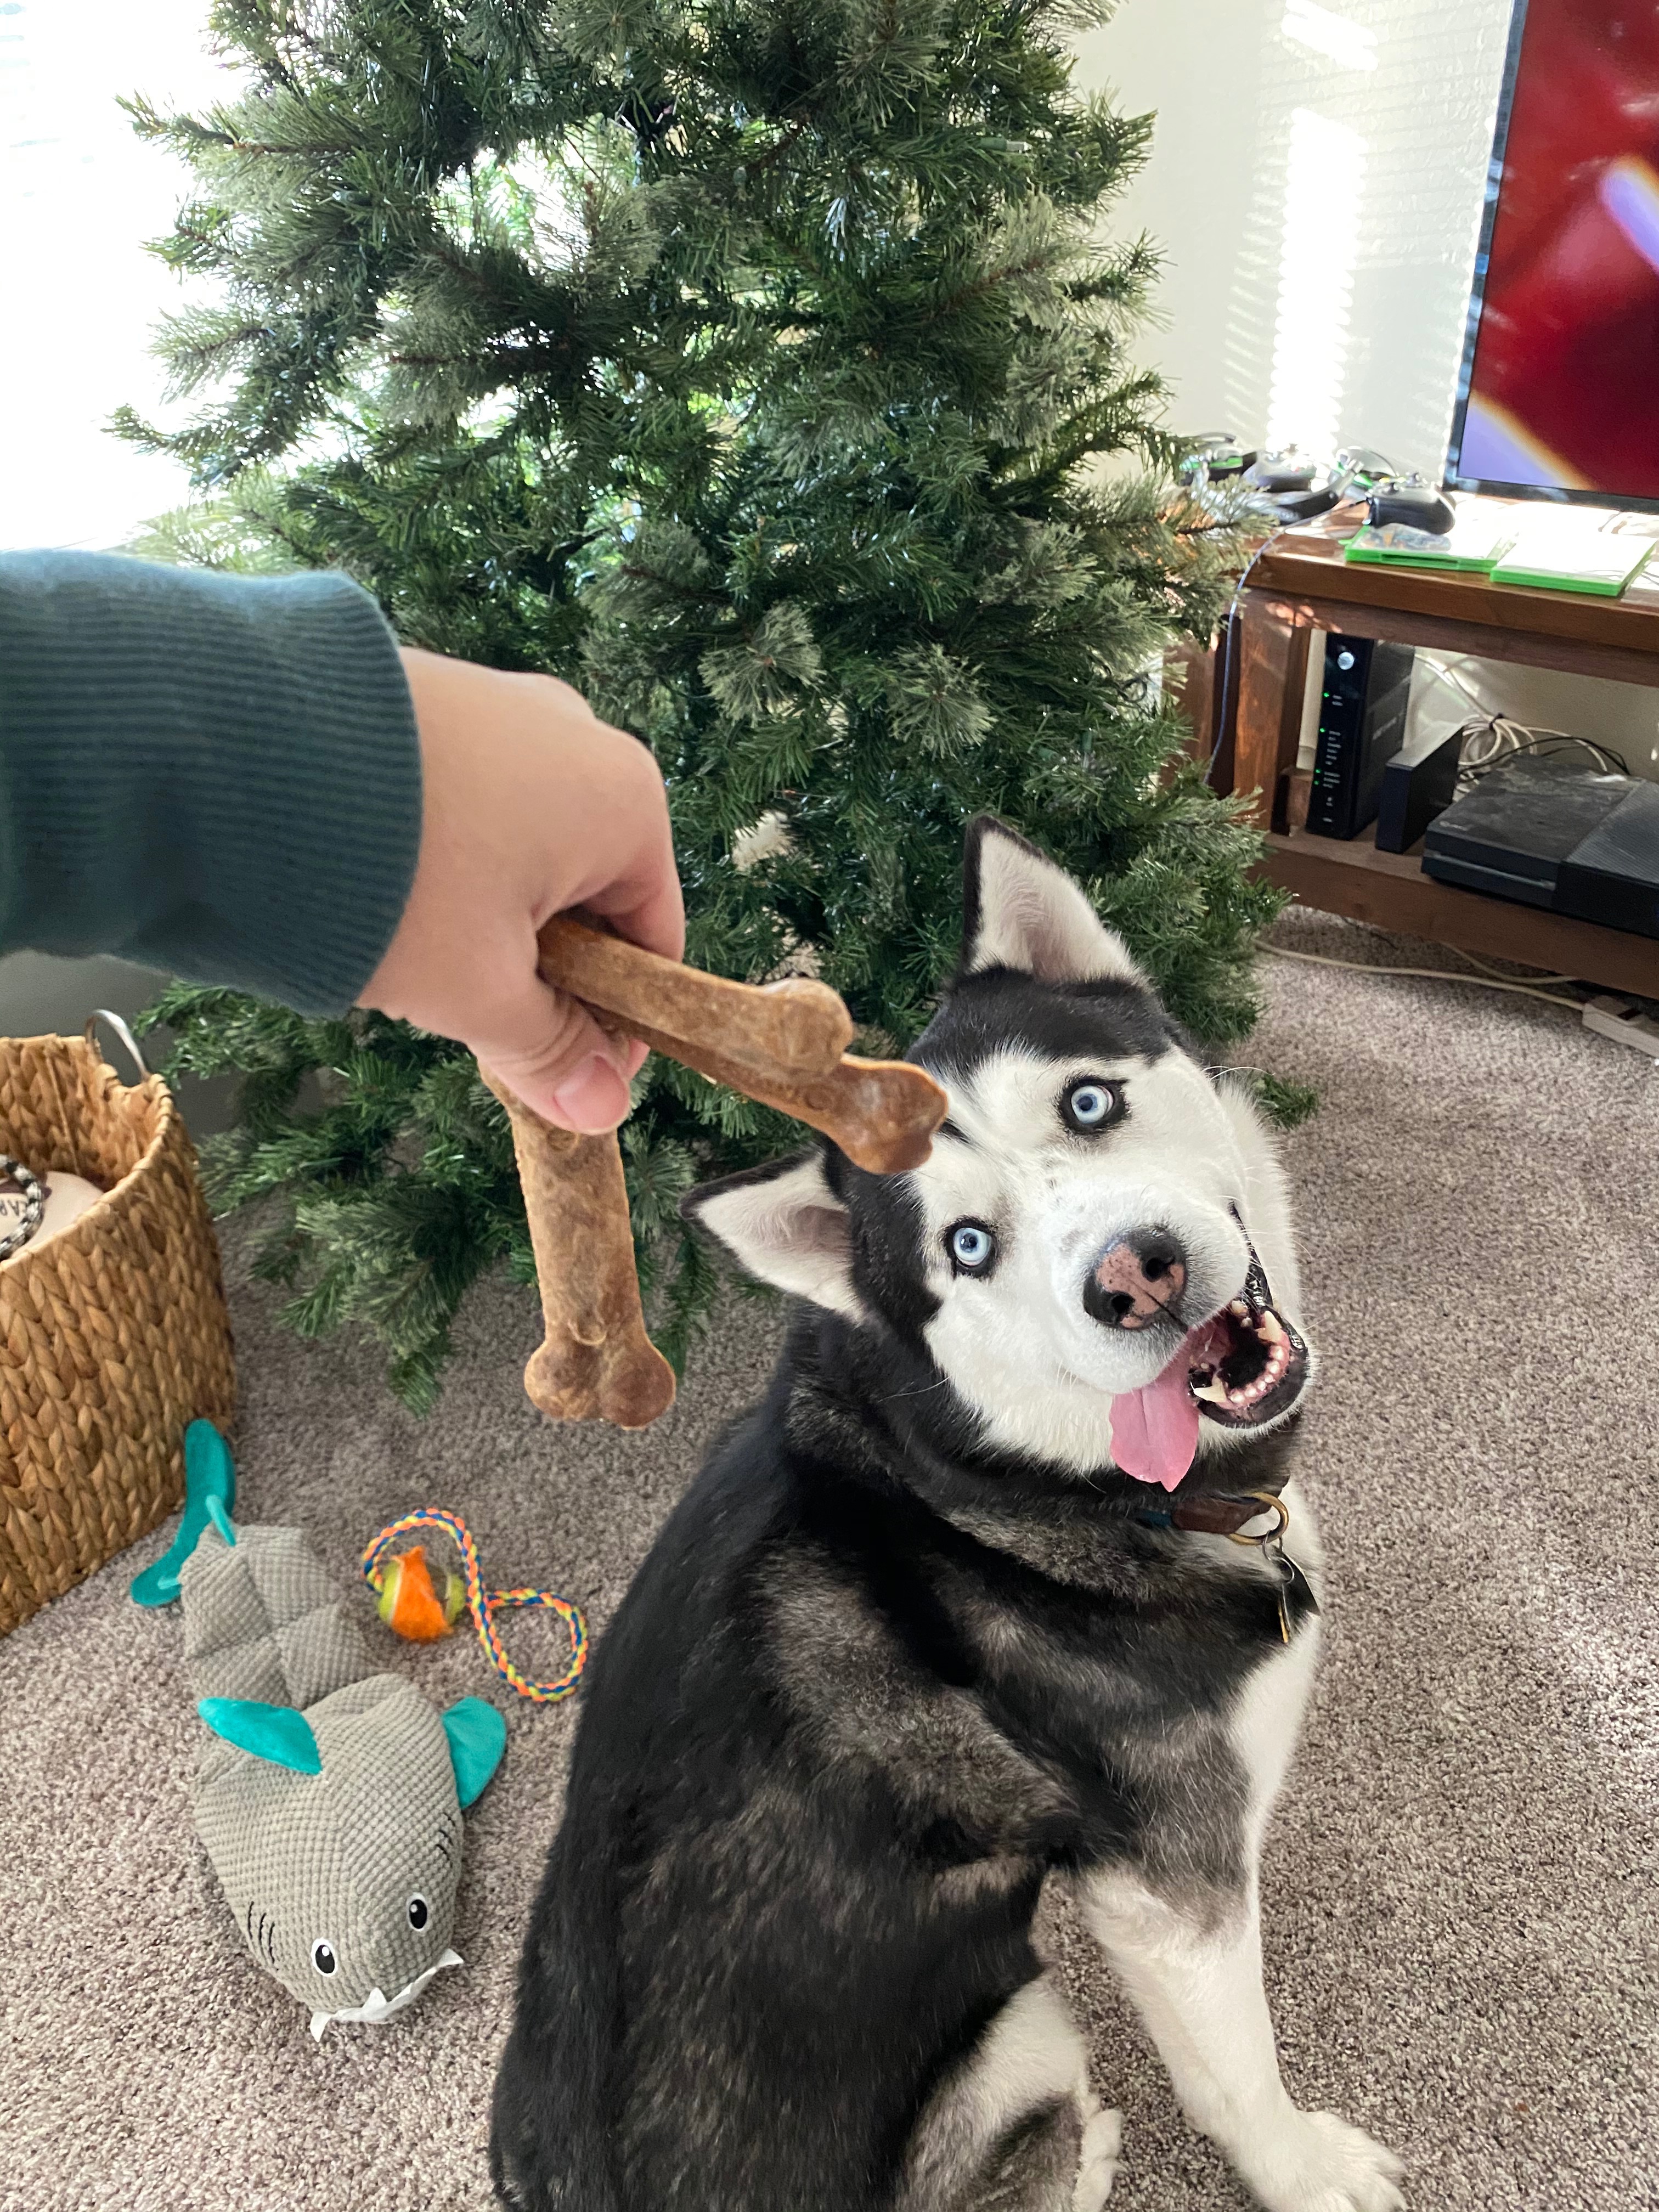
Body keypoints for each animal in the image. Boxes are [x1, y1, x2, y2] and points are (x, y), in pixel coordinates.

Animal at [490, 818, 1404, 2212]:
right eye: (969, 1247)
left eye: (1089, 1102)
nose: (1134, 1279)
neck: (1004, 1476)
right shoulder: (1170, 1893)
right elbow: (1237, 2080)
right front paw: (1304, 2172)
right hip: (1021, 2026)